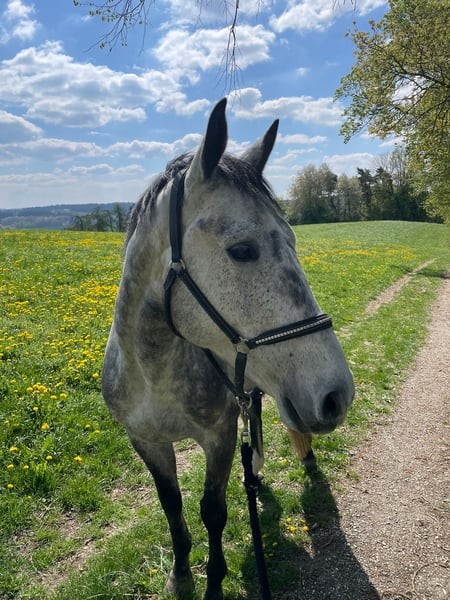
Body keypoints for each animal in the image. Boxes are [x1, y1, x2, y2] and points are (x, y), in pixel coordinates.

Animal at [102, 97, 355, 600]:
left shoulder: (219, 437)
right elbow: (172, 506)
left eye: (294, 240)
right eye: (241, 250)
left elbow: (212, 512)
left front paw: (213, 584)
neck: (153, 374)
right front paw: (180, 574)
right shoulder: (145, 441)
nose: (337, 395)